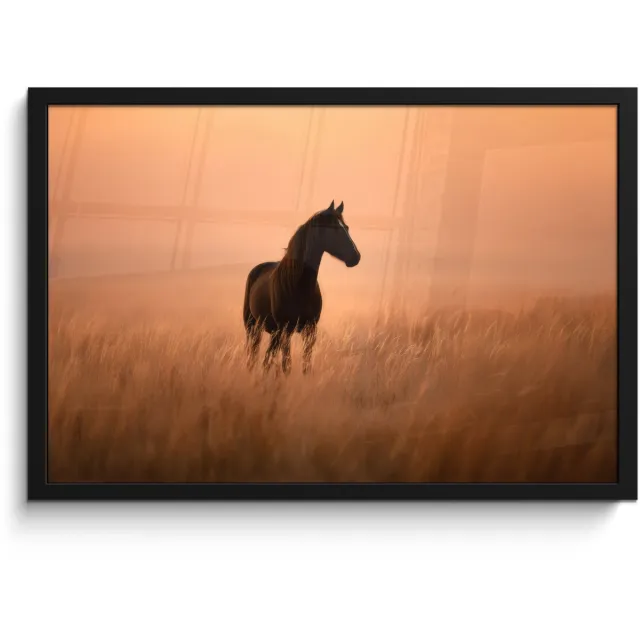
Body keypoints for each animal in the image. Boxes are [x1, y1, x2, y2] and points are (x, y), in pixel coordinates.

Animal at [242, 200, 361, 374]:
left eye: (346, 227)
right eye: (334, 229)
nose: (356, 257)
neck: (298, 285)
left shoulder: (310, 330)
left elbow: (306, 365)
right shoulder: (286, 330)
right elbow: (287, 365)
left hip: (273, 332)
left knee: (267, 358)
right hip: (253, 326)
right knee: (254, 355)